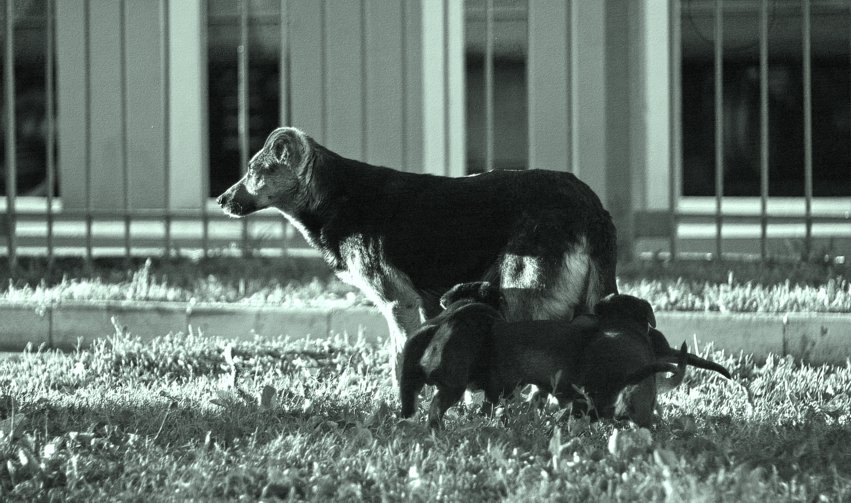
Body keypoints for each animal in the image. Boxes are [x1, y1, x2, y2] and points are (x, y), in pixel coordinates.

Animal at [218, 128, 620, 380]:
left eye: (253, 172)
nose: (220, 200)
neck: (333, 194)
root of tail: (591, 204)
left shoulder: (399, 304)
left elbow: (400, 357)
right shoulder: (427, 306)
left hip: (523, 299)